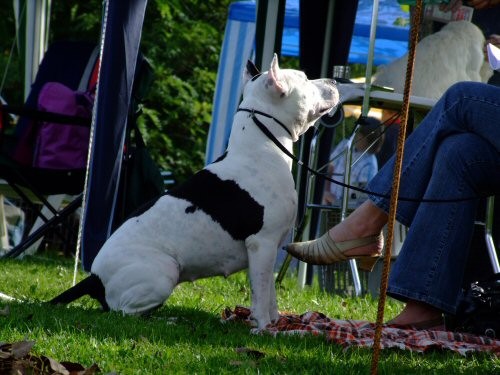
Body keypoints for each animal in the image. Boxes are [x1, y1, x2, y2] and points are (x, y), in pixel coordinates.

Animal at [50, 54, 340, 330]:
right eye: (305, 78)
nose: (336, 80)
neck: (261, 146)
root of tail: (94, 277)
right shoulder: (262, 244)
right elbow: (260, 297)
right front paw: (264, 328)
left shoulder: (268, 251)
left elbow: (269, 295)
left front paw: (277, 322)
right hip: (164, 271)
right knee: (124, 313)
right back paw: (167, 320)